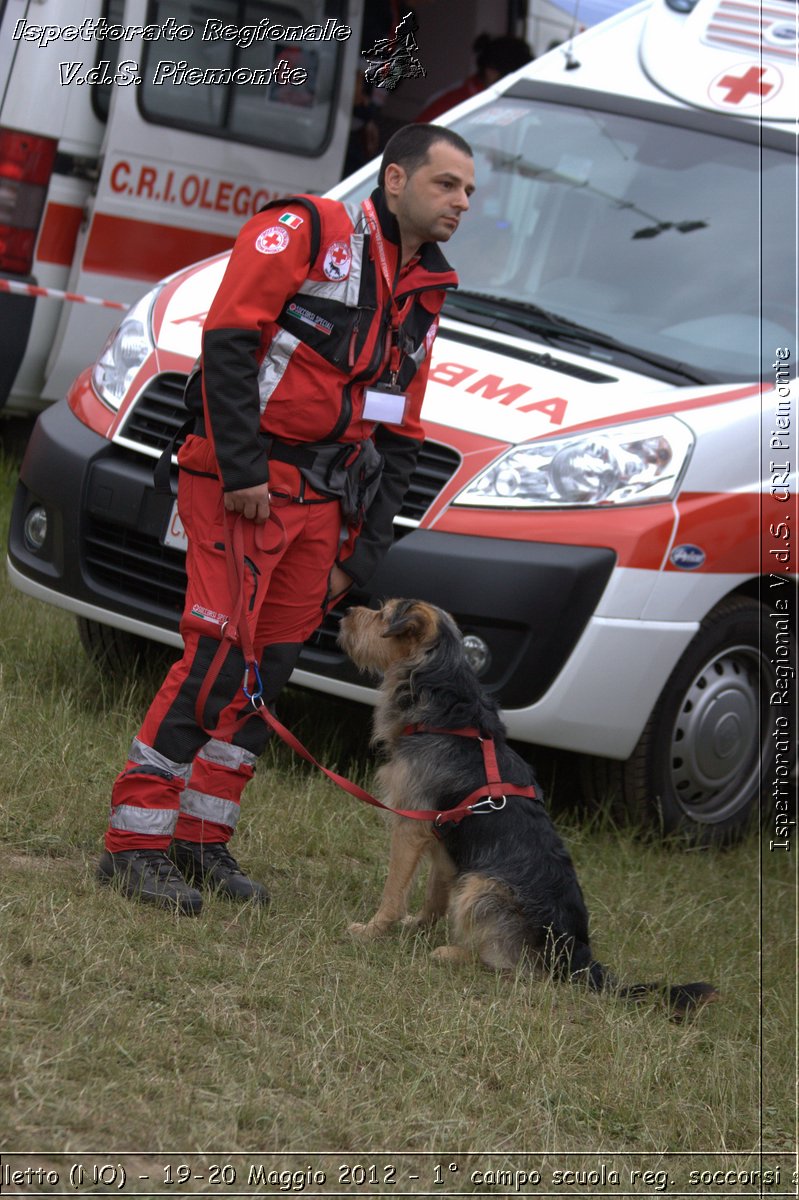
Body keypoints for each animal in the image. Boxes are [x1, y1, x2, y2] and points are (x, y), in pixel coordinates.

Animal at [335, 595, 715, 1017]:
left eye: (383, 615)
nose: (345, 612)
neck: (444, 711)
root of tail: (576, 955)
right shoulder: (442, 840)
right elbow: (435, 894)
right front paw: (417, 926)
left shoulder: (410, 826)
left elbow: (393, 890)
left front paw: (372, 931)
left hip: (481, 886)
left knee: (513, 967)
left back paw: (453, 953)